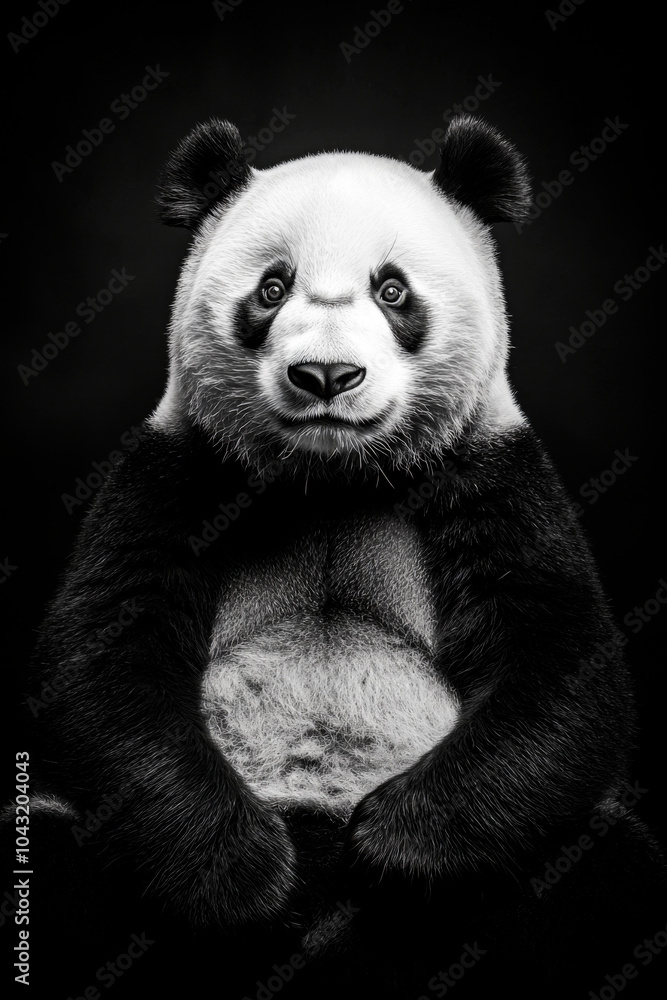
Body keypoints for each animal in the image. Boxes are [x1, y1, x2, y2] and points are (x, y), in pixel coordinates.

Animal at [21, 116, 666, 999]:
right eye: (271, 288)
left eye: (392, 292)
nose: (325, 375)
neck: (330, 477)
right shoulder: (175, 473)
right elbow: (105, 667)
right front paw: (251, 883)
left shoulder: (492, 475)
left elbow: (561, 667)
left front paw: (394, 849)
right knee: (54, 859)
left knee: (608, 868)